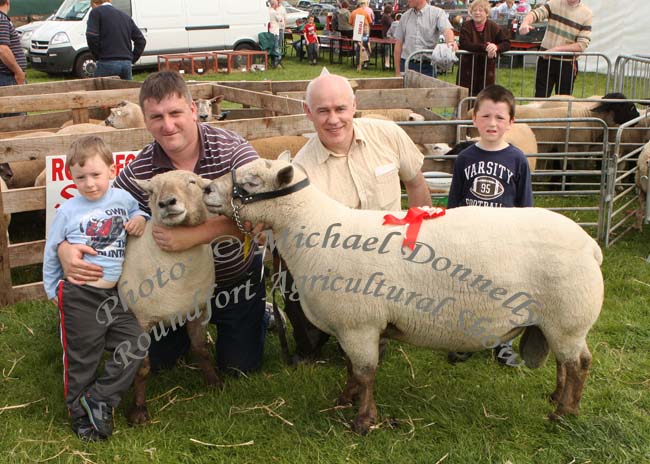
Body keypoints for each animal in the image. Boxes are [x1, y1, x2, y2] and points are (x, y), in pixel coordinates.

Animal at [117, 170, 218, 424]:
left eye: (192, 182)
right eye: (152, 191)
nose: (167, 203)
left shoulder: (199, 311)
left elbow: (201, 349)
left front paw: (214, 382)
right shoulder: (141, 321)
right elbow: (143, 368)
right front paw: (139, 410)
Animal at [202, 160, 604, 436]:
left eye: (251, 182)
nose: (205, 189)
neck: (312, 229)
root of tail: (591, 246)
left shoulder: (359, 323)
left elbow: (365, 372)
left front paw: (363, 421)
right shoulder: (353, 326)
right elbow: (352, 370)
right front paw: (345, 399)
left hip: (569, 316)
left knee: (579, 364)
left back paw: (564, 413)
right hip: (555, 321)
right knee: (564, 363)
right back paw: (556, 397)